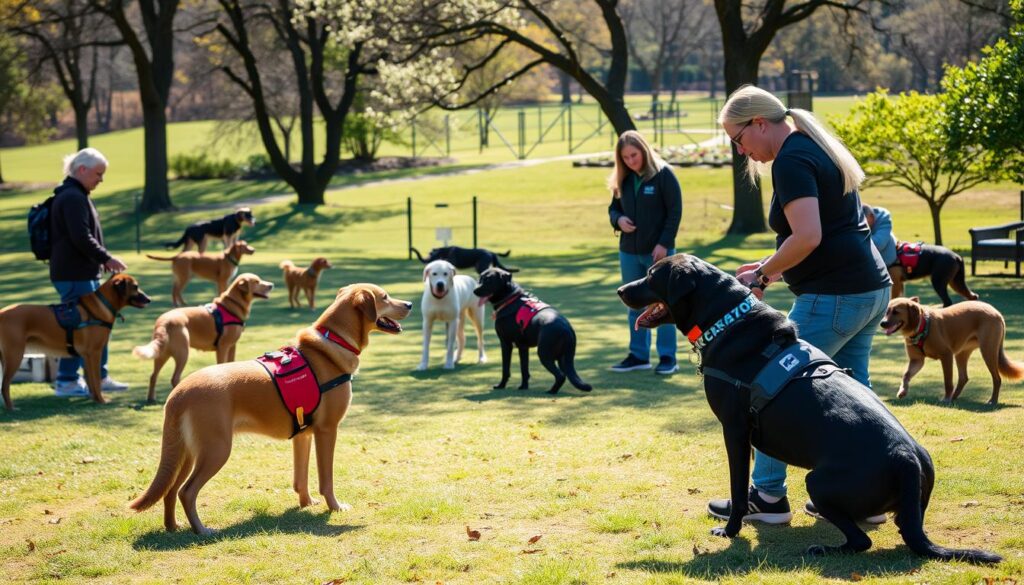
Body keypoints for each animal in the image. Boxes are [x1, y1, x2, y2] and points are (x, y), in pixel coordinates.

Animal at [0, 276, 149, 409]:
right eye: (135, 287)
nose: (149, 299)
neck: (102, 305)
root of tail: (2, 313)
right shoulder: (95, 353)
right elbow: (96, 380)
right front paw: (101, 400)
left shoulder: (87, 356)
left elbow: (91, 381)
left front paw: (95, 398)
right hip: (15, 356)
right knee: (4, 385)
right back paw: (11, 407)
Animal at [133, 274, 276, 403]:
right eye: (256, 281)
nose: (271, 285)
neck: (231, 305)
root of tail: (164, 321)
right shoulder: (223, 347)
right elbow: (221, 363)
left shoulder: (232, 346)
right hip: (183, 353)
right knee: (174, 378)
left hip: (161, 354)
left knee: (153, 376)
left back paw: (151, 398)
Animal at [880, 297, 1024, 403]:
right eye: (886, 312)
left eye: (896, 311)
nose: (882, 323)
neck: (922, 327)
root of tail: (997, 313)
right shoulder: (917, 361)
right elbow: (906, 375)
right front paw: (902, 391)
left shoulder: (946, 356)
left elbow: (947, 381)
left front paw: (946, 398)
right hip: (962, 354)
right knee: (964, 378)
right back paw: (955, 397)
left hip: (988, 351)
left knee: (997, 379)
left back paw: (992, 400)